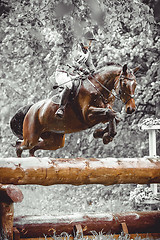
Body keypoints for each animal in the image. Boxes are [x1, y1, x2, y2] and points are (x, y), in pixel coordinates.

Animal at [10, 63, 139, 158]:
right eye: (124, 83)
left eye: (135, 84)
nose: (131, 109)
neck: (97, 88)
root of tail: (31, 108)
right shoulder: (88, 115)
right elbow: (111, 113)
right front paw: (104, 134)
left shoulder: (103, 111)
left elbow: (115, 116)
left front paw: (104, 134)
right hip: (31, 136)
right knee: (21, 145)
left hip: (54, 141)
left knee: (33, 148)